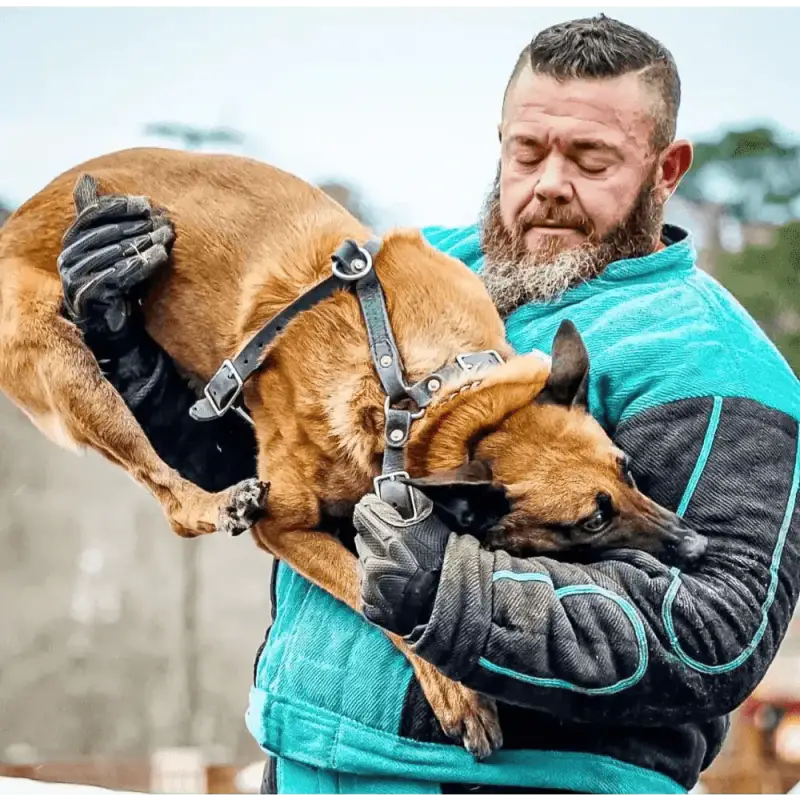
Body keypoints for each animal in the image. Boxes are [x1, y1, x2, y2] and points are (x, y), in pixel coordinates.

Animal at [0, 148, 700, 756]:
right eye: (591, 521)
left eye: (629, 471)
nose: (697, 547)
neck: (429, 395)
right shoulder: (285, 526)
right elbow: (371, 597)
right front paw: (457, 693)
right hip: (70, 365)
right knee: (169, 497)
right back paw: (215, 502)